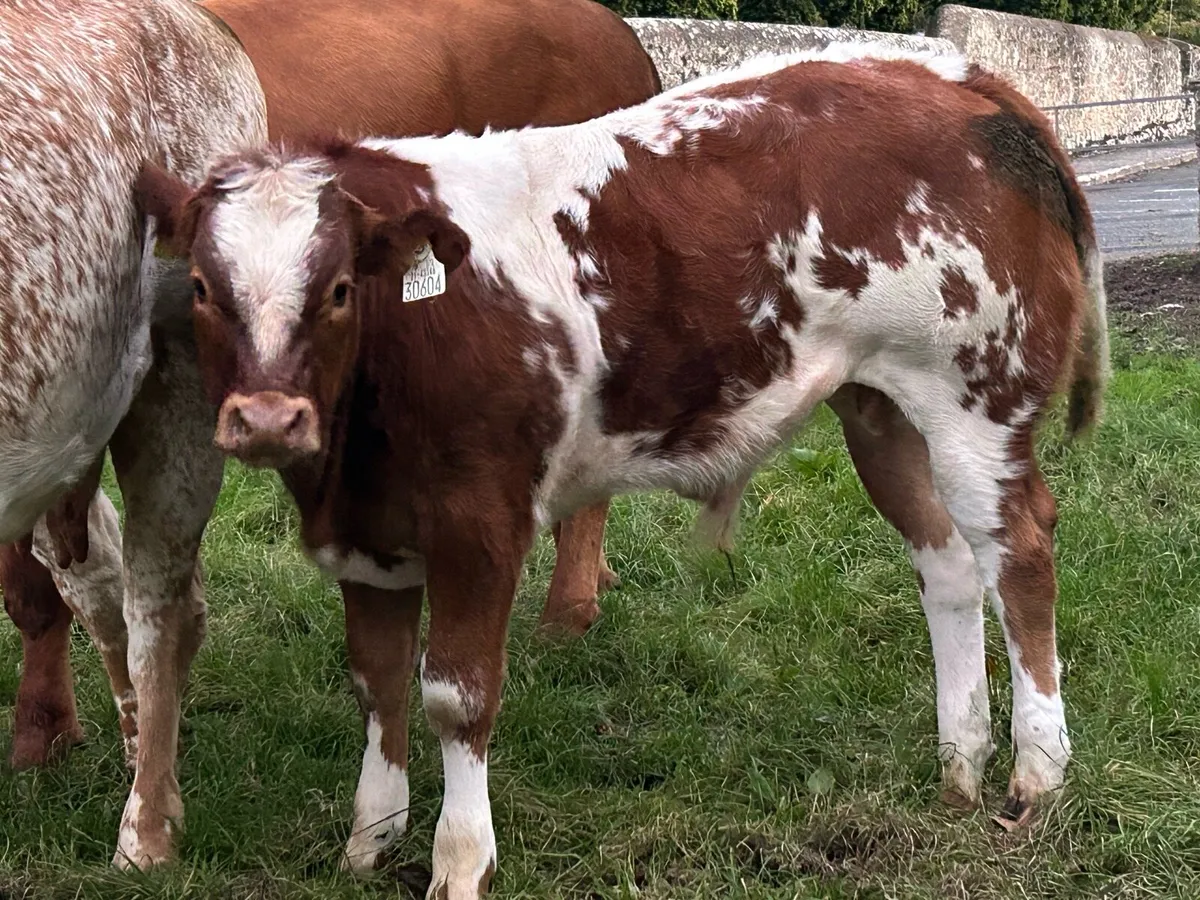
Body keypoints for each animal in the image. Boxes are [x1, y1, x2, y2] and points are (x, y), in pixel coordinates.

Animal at [137, 43, 1110, 897]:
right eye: (202, 289)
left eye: (338, 288)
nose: (269, 419)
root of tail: (956, 75)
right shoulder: (369, 532)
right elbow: (377, 684)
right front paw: (370, 841)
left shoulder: (480, 518)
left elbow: (456, 695)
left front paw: (460, 861)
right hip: (880, 407)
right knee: (947, 564)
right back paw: (960, 765)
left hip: (976, 399)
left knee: (1019, 554)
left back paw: (1036, 775)